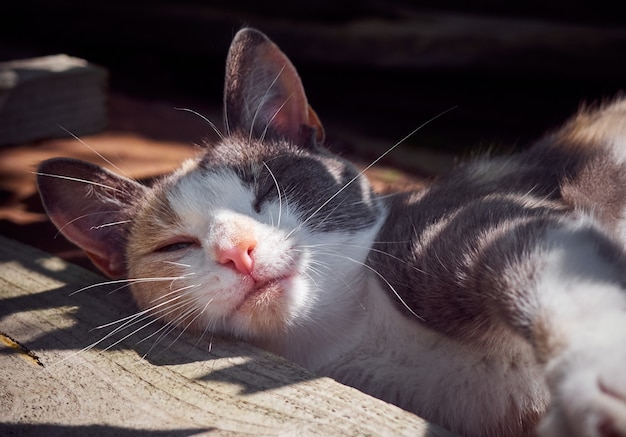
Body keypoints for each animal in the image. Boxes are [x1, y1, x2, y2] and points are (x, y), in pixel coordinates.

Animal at [36, 28, 624, 436]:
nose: (238, 250)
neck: (363, 337)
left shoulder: (468, 218)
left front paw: (596, 379)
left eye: (264, 188)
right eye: (175, 245)